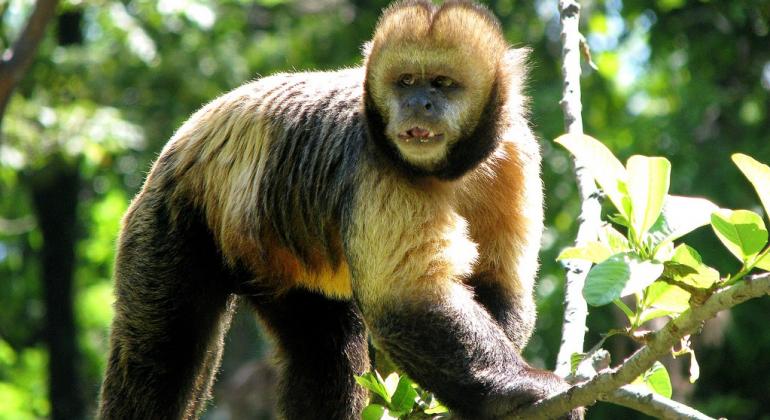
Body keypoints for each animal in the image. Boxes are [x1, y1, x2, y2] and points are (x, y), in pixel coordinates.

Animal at [99, 0, 584, 420]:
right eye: (406, 81)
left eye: (442, 84)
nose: (418, 104)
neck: (450, 171)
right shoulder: (376, 163)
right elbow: (409, 303)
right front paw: (518, 390)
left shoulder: (515, 150)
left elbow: (499, 284)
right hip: (171, 215)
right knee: (164, 350)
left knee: (323, 352)